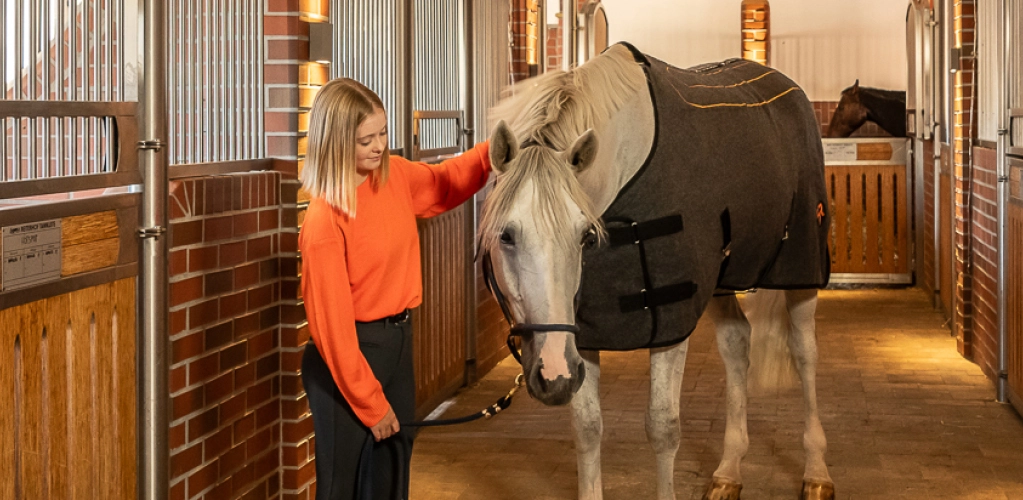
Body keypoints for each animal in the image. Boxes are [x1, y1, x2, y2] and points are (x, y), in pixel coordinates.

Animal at [479, 42, 835, 500]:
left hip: (801, 269)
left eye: (584, 236)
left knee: (805, 354)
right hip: (719, 281)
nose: (553, 374)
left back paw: (817, 473)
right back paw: (728, 472)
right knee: (737, 344)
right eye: (506, 235)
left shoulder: (669, 321)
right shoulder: (585, 334)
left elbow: (663, 427)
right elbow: (587, 428)